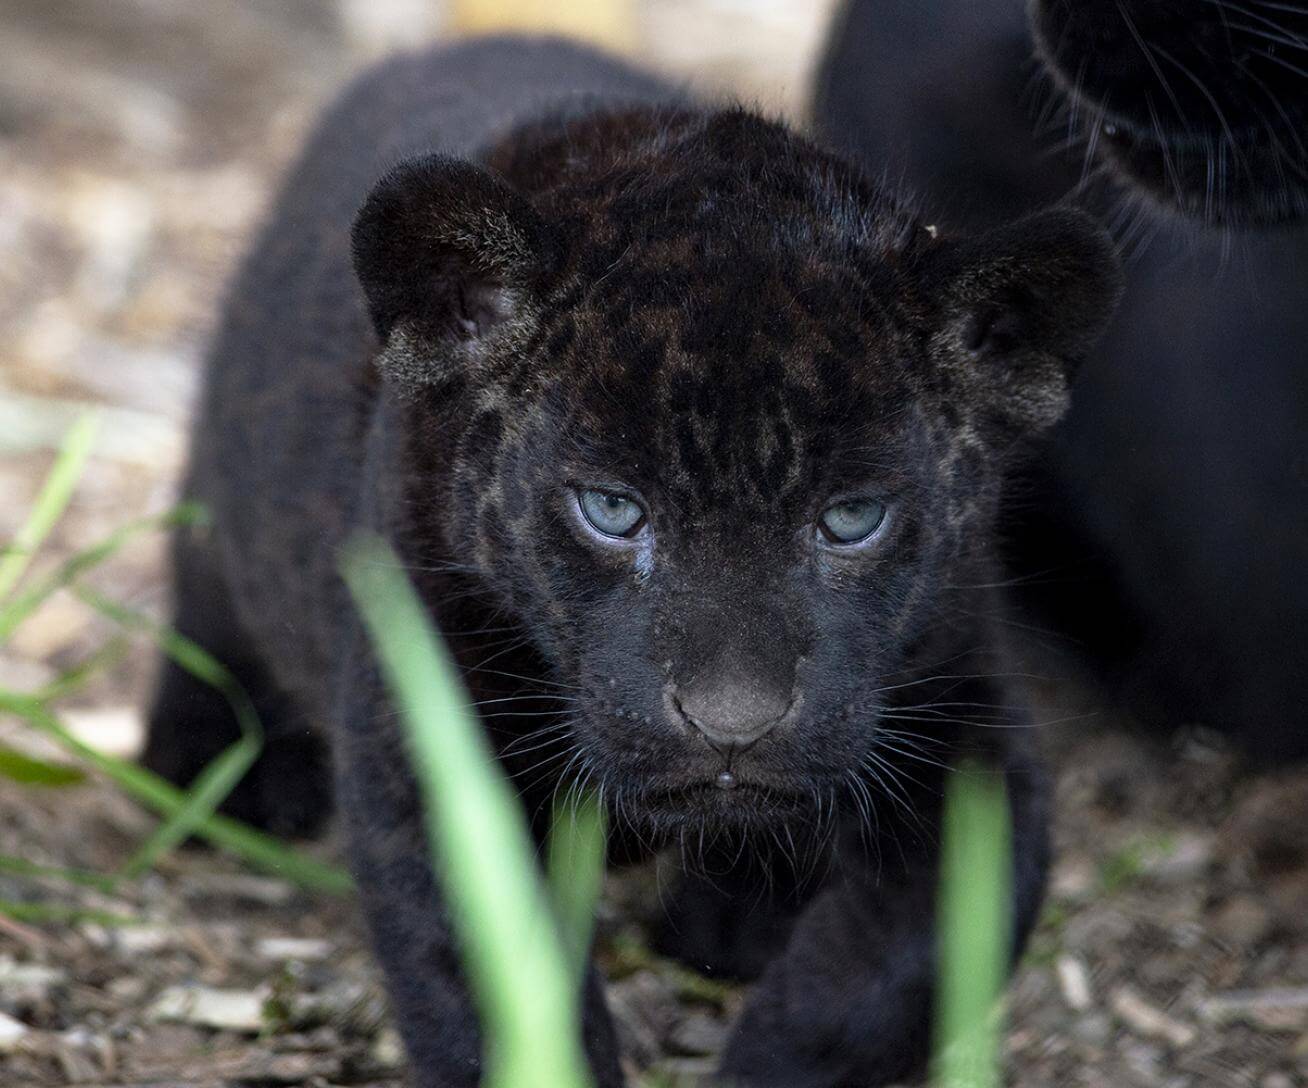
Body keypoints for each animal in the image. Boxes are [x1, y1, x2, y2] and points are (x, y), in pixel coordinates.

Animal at [143, 36, 1122, 1087]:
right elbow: (493, 987)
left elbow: (897, 970)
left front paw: (769, 1062)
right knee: (208, 598)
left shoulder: (967, 729)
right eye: (612, 510)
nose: (732, 725)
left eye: (853, 519)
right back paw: (222, 769)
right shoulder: (432, 747)